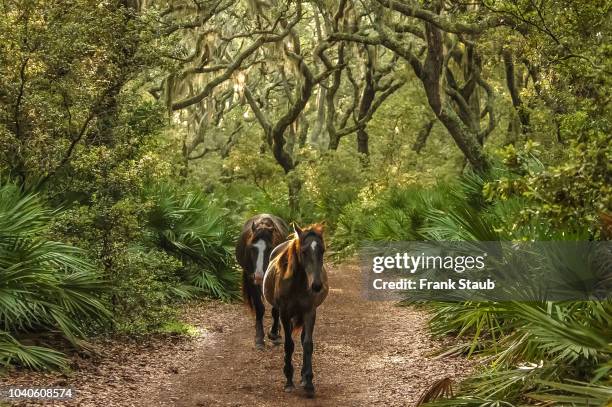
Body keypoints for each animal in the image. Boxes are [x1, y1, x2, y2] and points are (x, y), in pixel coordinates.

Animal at [235, 214, 290, 350]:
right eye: (252, 248)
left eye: (270, 248)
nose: (260, 276)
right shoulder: (251, 278)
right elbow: (259, 308)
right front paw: (259, 338)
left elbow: (276, 308)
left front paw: (274, 334)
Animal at [264, 223, 330, 398]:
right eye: (304, 251)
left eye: (322, 250)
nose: (316, 285)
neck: (298, 284)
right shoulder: (285, 314)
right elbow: (289, 345)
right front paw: (288, 381)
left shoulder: (310, 312)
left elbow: (307, 344)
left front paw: (308, 382)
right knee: (274, 314)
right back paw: (273, 334)